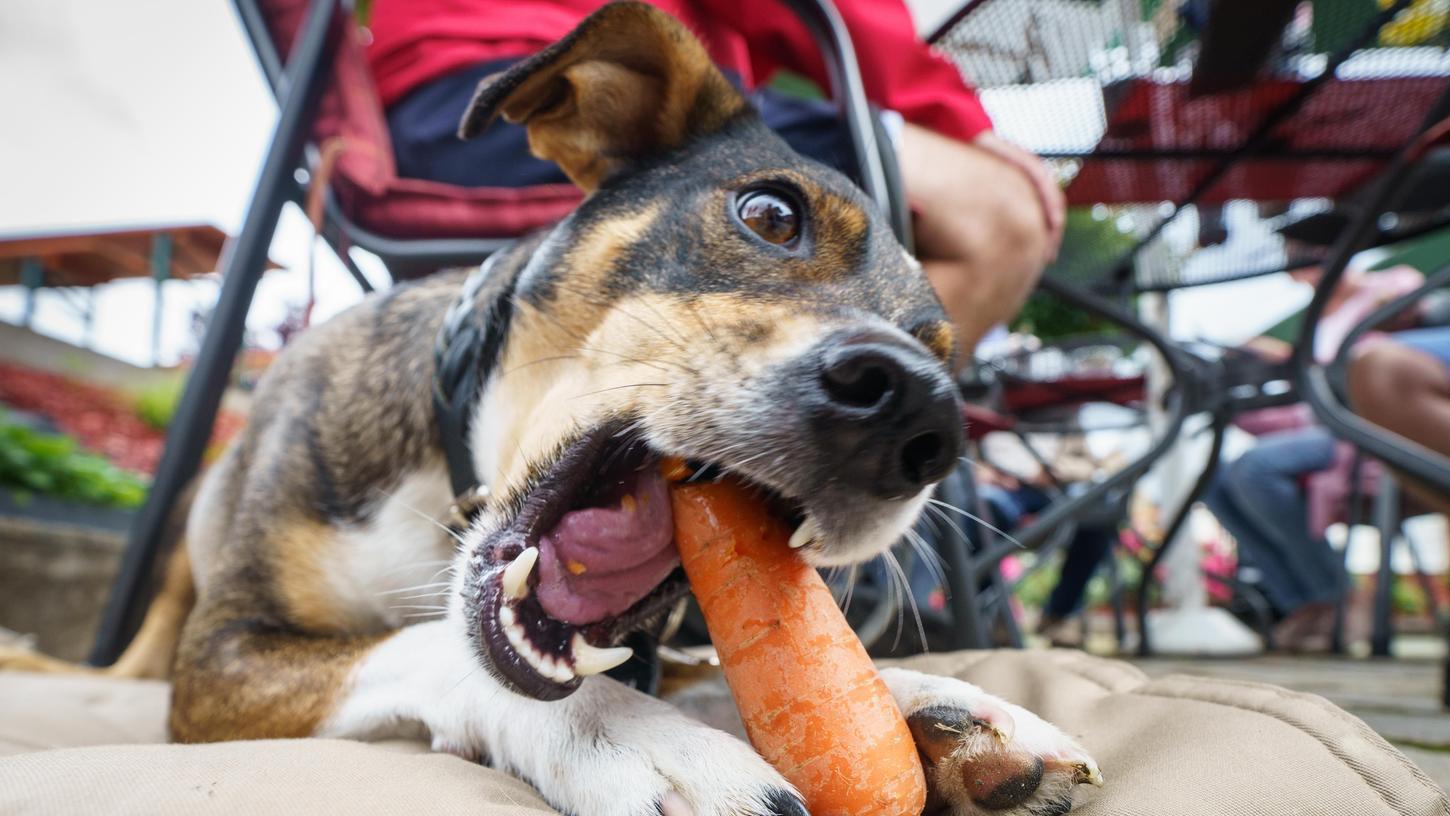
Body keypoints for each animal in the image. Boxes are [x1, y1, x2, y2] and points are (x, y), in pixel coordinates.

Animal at [2, 4, 1096, 811]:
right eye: (770, 214)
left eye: (944, 356)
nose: (917, 413)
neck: (446, 500)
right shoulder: (224, 660)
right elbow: (434, 646)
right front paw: (631, 735)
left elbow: (706, 665)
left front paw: (946, 707)